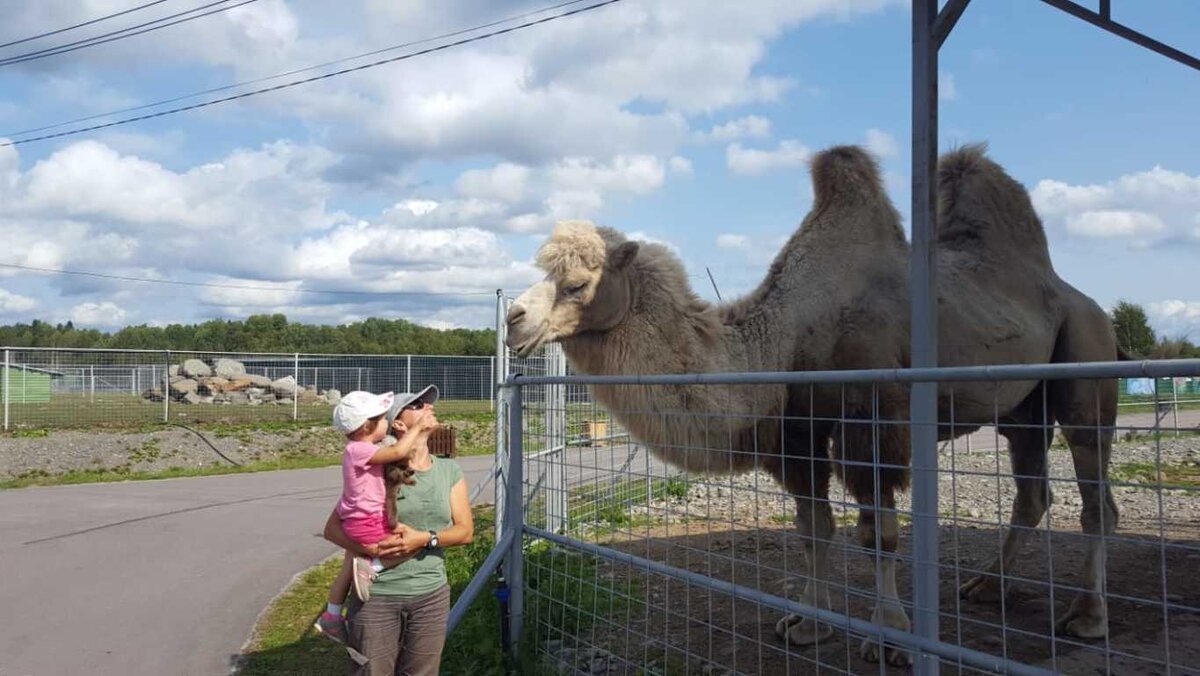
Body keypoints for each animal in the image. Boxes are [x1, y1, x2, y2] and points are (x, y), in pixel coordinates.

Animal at [501, 145, 1118, 667]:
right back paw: (987, 587)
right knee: (1033, 492)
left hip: (1086, 358)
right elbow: (813, 529)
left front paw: (891, 639)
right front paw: (808, 624)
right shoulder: (796, 434)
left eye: (577, 284)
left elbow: (877, 534)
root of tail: (1084, 299)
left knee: (1094, 493)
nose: (514, 321)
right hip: (1021, 409)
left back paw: (1087, 618)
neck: (786, 337)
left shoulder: (870, 422)